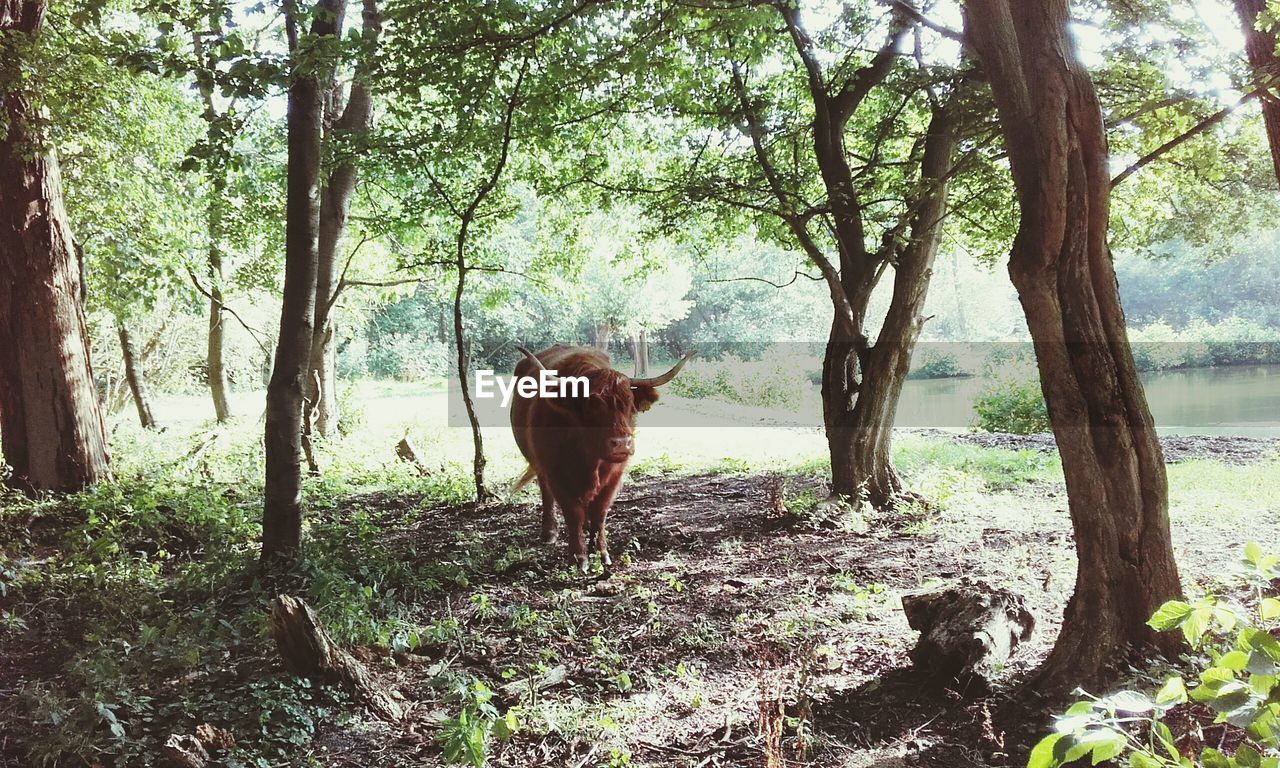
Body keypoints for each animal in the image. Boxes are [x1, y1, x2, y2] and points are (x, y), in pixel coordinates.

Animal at [509, 345, 696, 573]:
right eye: (592, 405)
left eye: (630, 405)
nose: (622, 443)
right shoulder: (556, 473)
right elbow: (573, 513)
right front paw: (579, 557)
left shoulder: (615, 476)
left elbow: (599, 512)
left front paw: (600, 552)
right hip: (539, 464)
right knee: (547, 493)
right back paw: (549, 532)